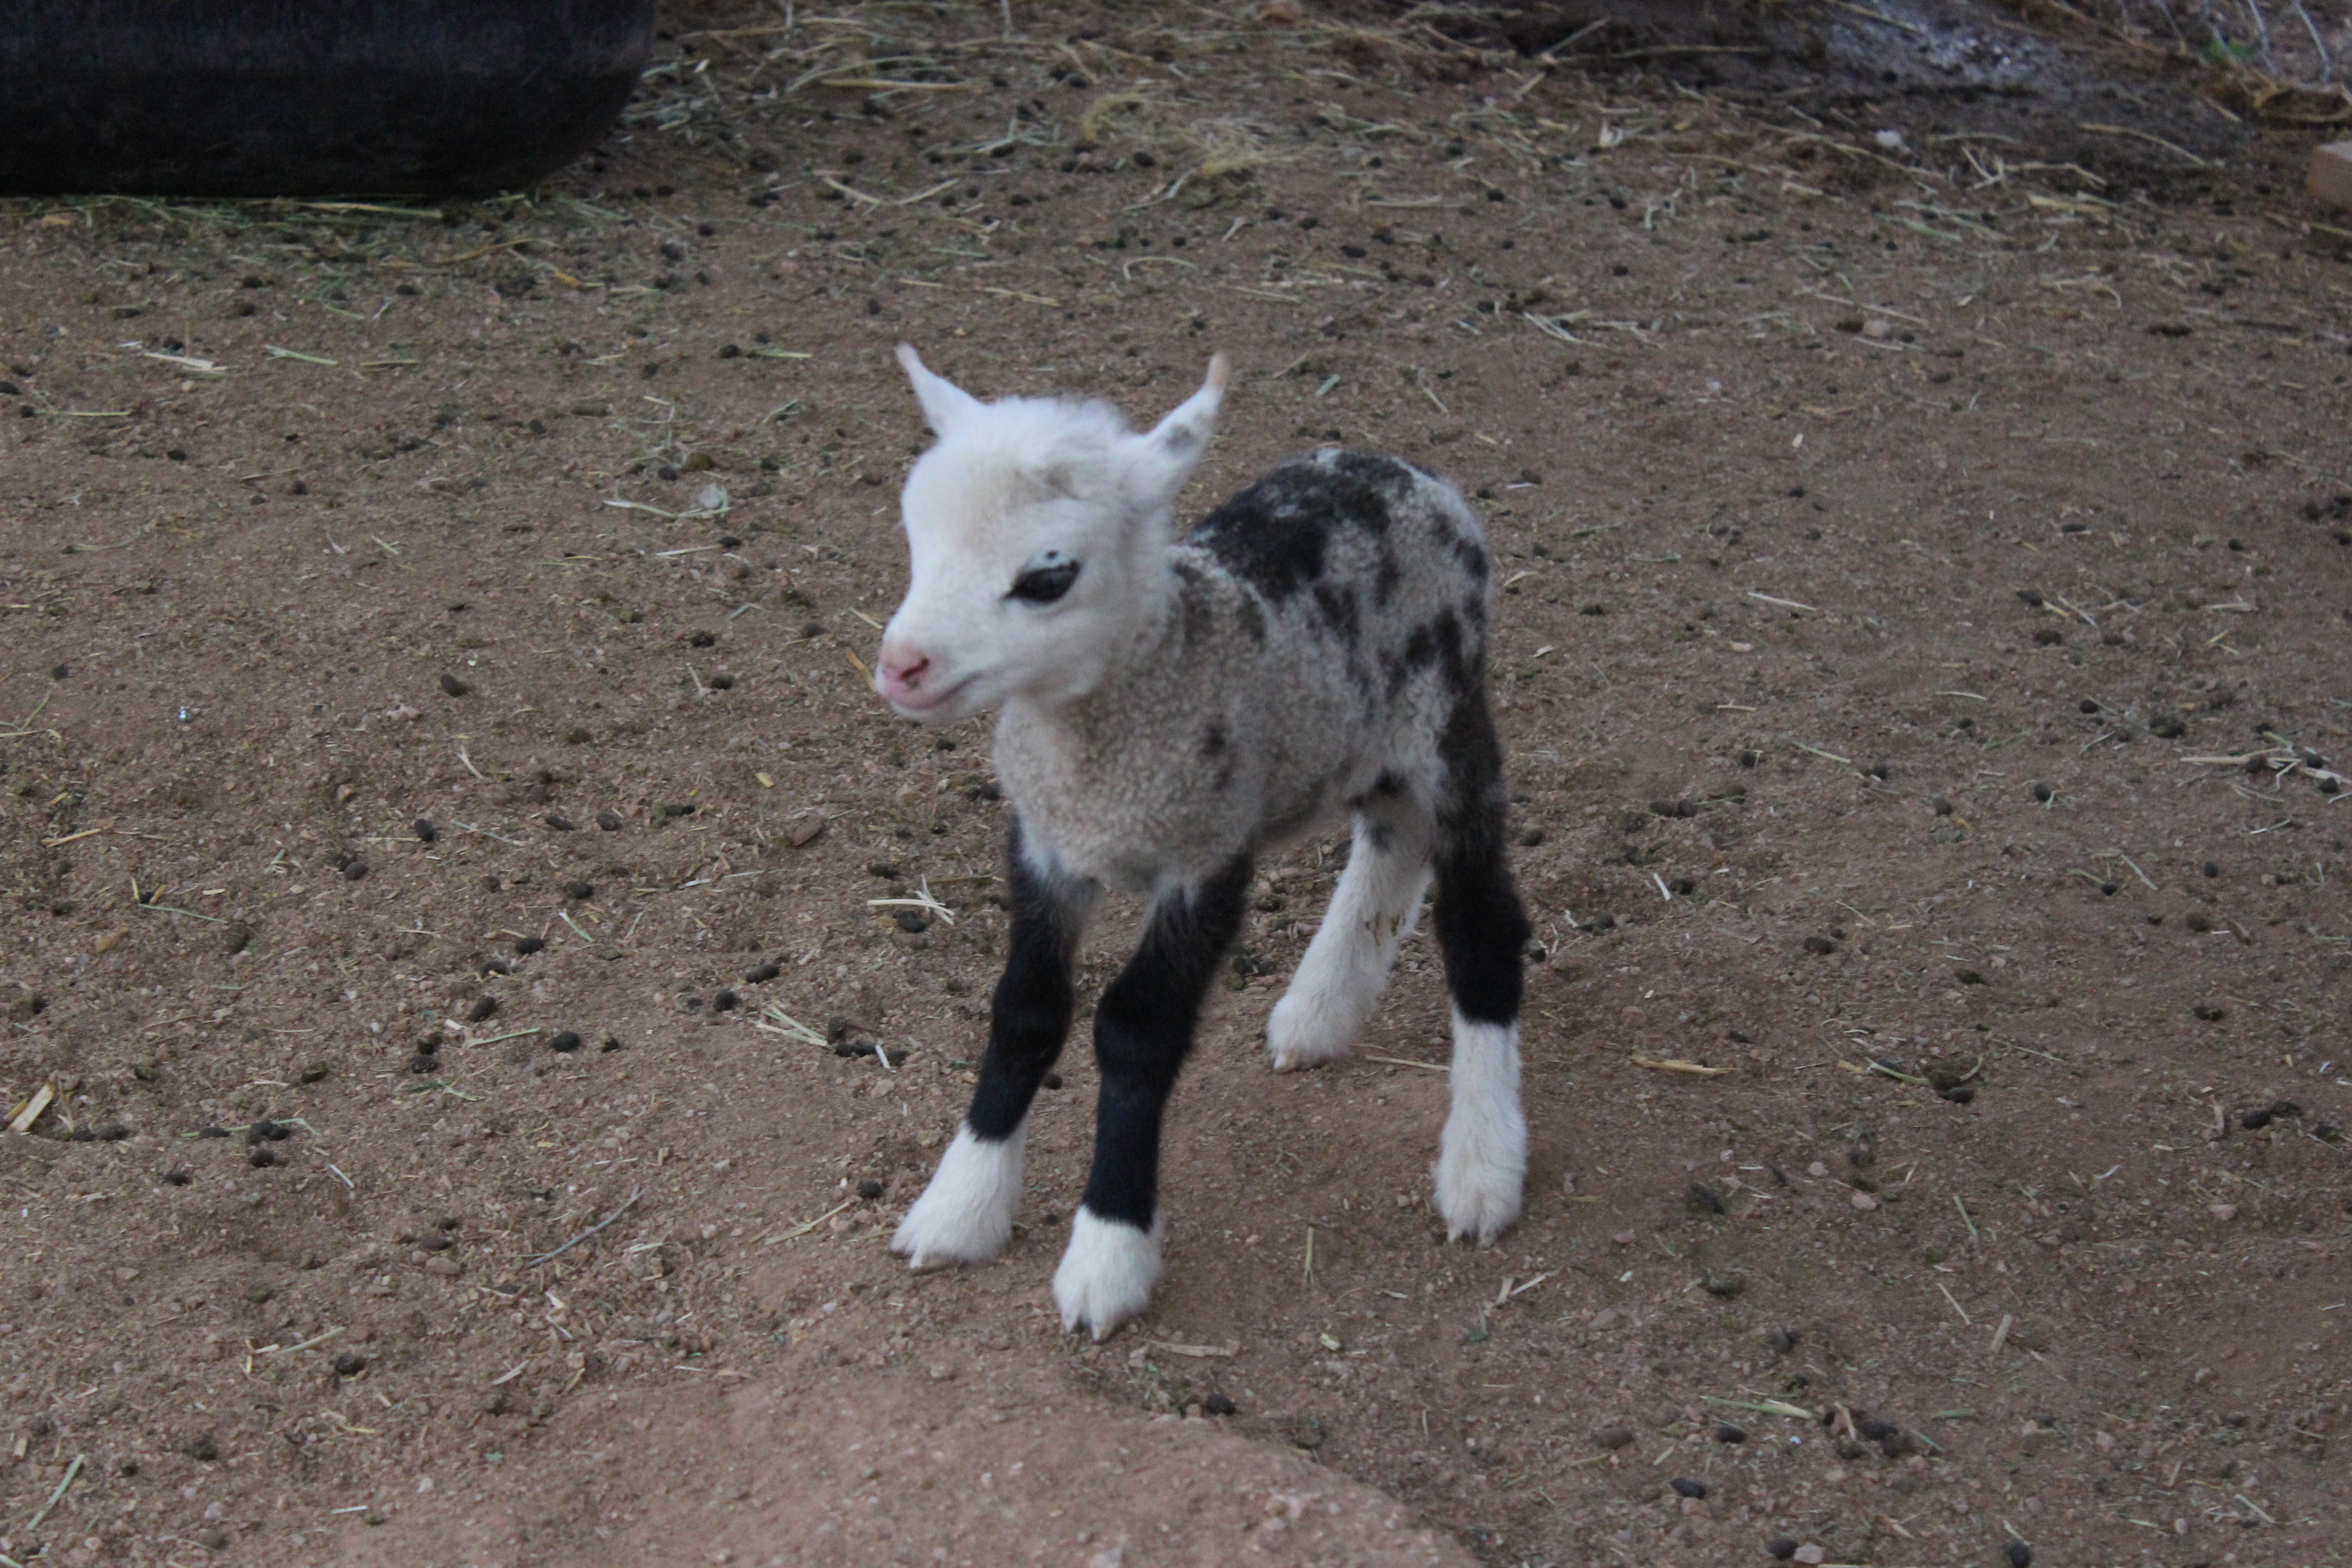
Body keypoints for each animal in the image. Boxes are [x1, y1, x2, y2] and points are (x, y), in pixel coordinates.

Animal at [875, 345, 1533, 1335]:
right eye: (918, 539)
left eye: (1048, 575)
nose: (901, 667)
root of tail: (1404, 470)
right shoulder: (1045, 845)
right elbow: (1024, 1012)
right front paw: (960, 1206)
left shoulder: (1206, 850)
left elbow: (1135, 1032)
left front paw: (1107, 1253)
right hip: (1355, 736)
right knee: (1389, 841)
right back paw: (1318, 1011)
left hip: (1450, 715)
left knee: (1481, 923)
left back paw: (1482, 1164)